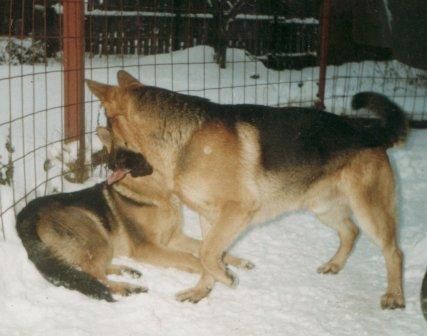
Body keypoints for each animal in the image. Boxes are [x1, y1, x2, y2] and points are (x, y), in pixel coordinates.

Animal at [16, 127, 252, 300]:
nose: (112, 164)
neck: (157, 195)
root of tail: (23, 217)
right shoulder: (149, 247)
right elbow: (192, 258)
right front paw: (220, 274)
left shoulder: (175, 238)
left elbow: (207, 248)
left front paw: (235, 261)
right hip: (95, 234)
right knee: (93, 274)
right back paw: (125, 287)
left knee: (89, 268)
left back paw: (125, 271)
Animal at [86, 71, 408, 310]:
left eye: (108, 129)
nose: (107, 166)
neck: (184, 138)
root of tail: (368, 130)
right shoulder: (209, 216)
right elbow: (206, 253)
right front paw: (203, 290)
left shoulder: (236, 211)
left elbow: (207, 253)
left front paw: (226, 278)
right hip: (321, 206)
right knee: (350, 232)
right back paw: (335, 265)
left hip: (369, 210)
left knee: (394, 251)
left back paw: (395, 295)